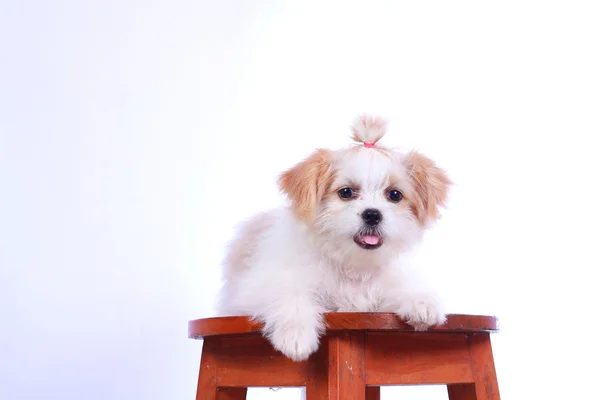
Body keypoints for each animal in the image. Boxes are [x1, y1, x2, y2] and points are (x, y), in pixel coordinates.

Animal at [216, 115, 450, 362]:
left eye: (394, 195)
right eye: (346, 192)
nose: (372, 214)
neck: (351, 266)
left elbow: (402, 287)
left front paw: (421, 302)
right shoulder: (256, 287)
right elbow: (290, 293)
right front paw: (296, 335)